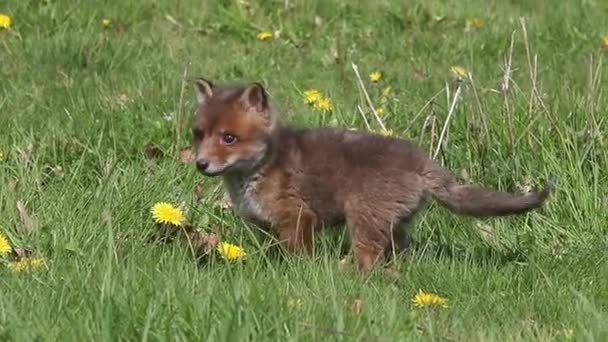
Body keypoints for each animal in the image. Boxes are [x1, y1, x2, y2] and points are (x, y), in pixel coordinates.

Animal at [192, 77, 552, 272]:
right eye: (198, 134)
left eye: (229, 138)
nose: (200, 164)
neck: (262, 166)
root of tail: (421, 159)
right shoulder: (264, 227)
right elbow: (270, 255)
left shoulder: (297, 218)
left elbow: (298, 258)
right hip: (394, 224)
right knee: (401, 252)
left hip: (362, 221)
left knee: (369, 262)